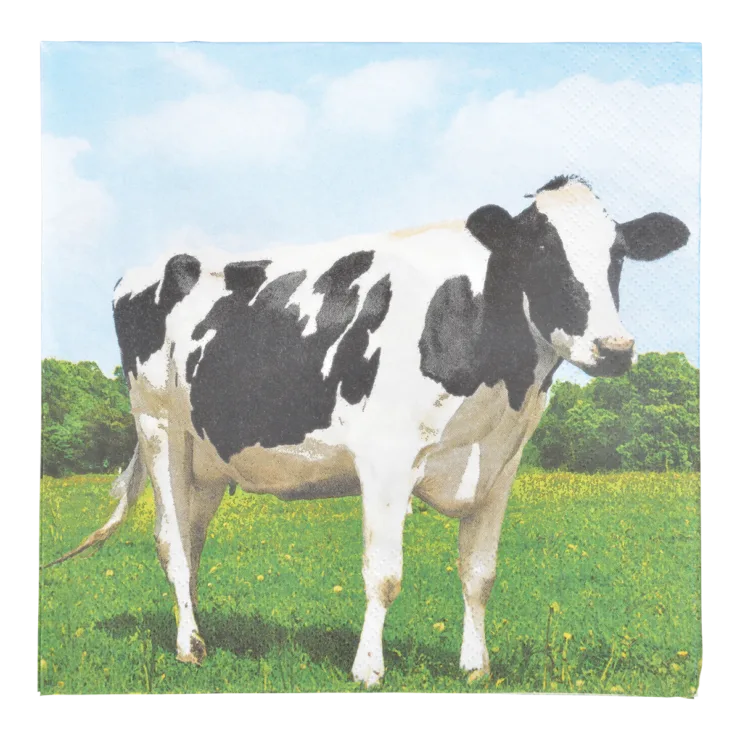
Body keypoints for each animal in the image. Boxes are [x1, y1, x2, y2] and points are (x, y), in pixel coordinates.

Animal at [43, 174, 689, 687]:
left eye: (617, 256)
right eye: (542, 252)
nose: (614, 348)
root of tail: (153, 266)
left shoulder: (500, 466)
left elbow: (480, 575)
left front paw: (476, 667)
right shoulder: (386, 459)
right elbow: (384, 575)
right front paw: (368, 669)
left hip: (206, 459)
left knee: (193, 539)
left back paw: (201, 632)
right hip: (159, 429)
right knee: (172, 543)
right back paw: (188, 647)